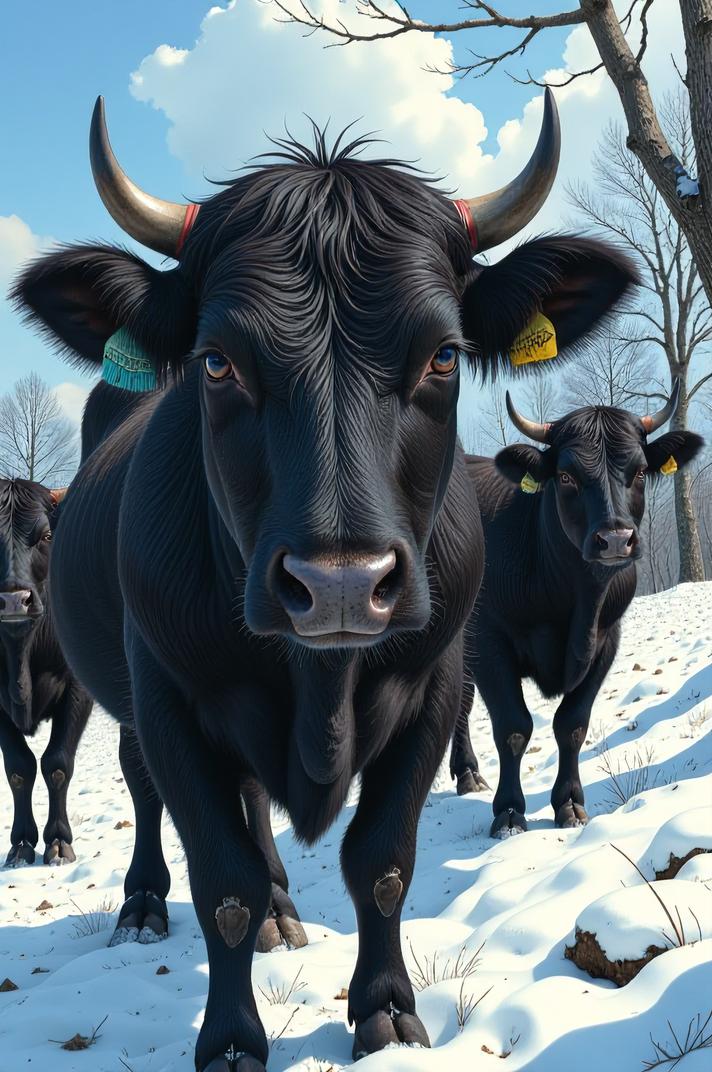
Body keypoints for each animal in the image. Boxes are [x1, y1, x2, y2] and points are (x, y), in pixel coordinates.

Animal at [13, 90, 637, 1070]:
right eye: (217, 361)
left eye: (444, 355)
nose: (340, 585)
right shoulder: (169, 697)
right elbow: (221, 877)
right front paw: (232, 1039)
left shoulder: (437, 682)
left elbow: (381, 863)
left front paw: (385, 1010)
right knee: (150, 795)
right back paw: (145, 902)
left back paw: (282, 908)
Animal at [449, 385, 704, 837]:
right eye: (566, 476)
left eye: (640, 471)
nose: (616, 539)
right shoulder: (489, 637)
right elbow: (513, 726)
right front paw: (509, 811)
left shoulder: (606, 640)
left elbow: (571, 724)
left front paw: (568, 803)